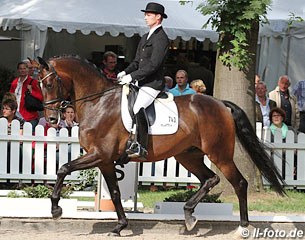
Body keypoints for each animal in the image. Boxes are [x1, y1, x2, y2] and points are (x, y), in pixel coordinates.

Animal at [34, 55, 284, 236]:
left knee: (239, 183)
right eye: (39, 85)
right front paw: (120, 225)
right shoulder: (105, 160)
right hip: (188, 155)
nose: (52, 119)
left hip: (219, 154)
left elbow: (63, 168)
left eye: (50, 83)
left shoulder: (99, 154)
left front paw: (55, 209)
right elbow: (114, 192)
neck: (98, 102)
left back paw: (242, 226)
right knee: (210, 179)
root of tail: (220, 104)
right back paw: (189, 215)